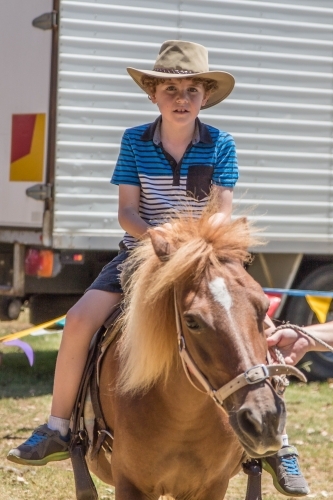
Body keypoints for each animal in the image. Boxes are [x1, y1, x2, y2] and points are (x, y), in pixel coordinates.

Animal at [86, 205, 288, 498]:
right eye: (192, 322)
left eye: (263, 308)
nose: (264, 418)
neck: (183, 419)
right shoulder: (130, 483)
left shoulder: (213, 485)